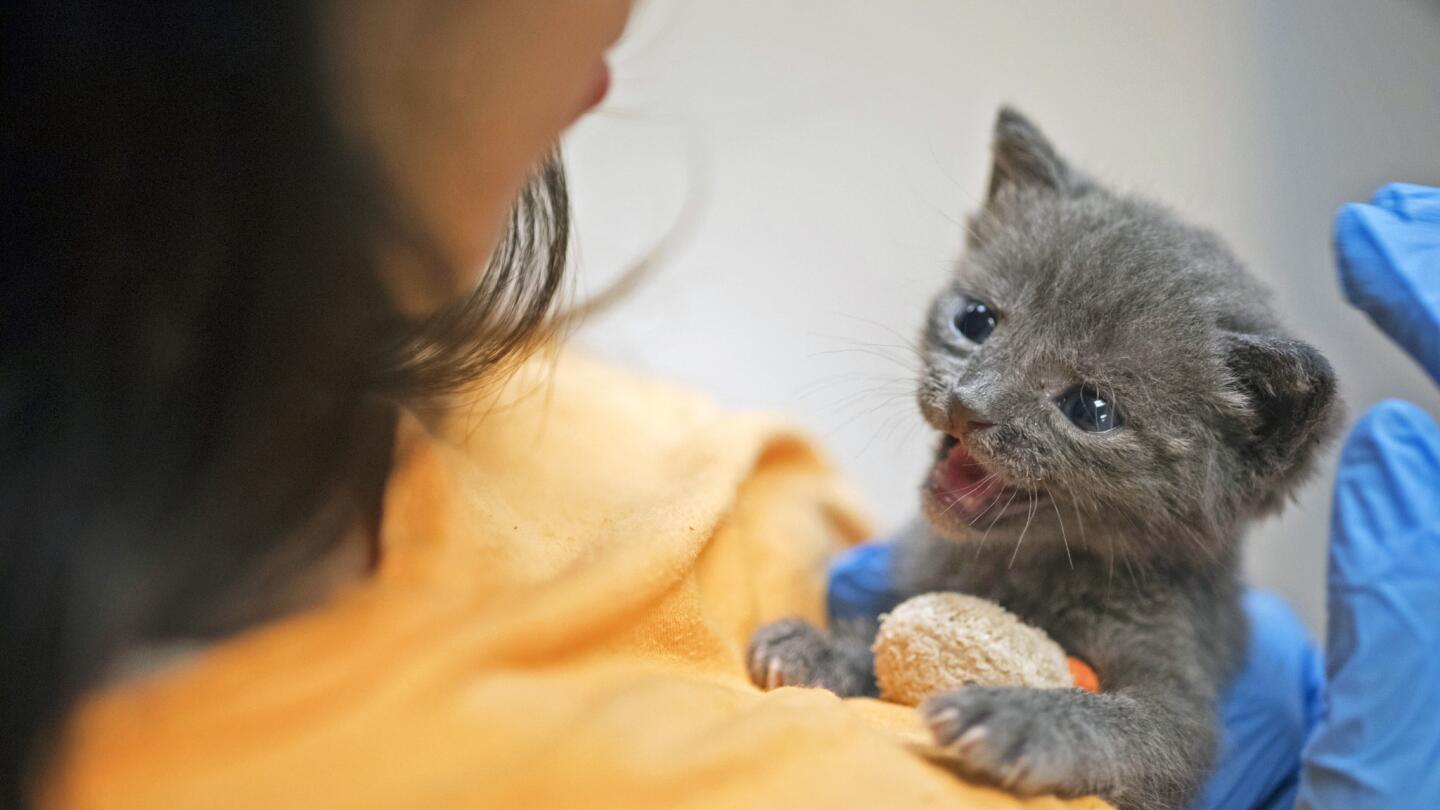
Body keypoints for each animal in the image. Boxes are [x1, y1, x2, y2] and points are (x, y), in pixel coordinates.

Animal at [748, 108, 1342, 807]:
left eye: (1090, 409)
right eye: (976, 320)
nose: (968, 402)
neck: (1024, 568)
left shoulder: (1182, 692)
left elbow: (1132, 729)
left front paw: (1017, 719)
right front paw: (823, 649)